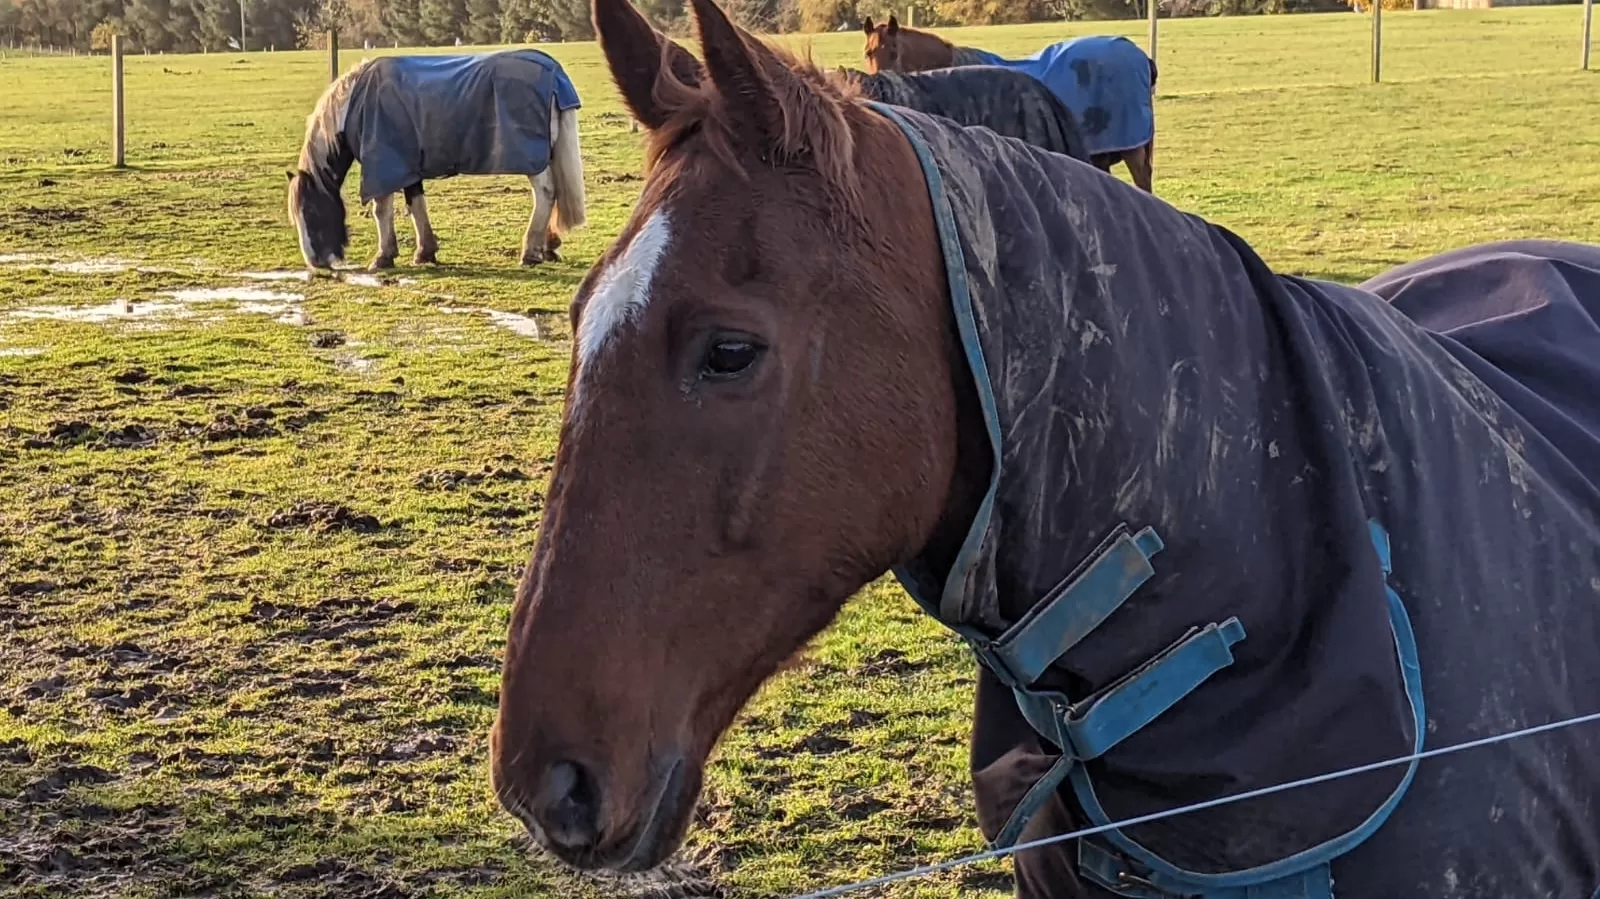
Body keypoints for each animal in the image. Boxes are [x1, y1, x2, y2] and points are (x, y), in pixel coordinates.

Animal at [287, 49, 587, 272]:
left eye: (311, 211)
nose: (316, 263)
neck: (351, 106)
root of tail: (553, 72)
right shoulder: (406, 167)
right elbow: (415, 204)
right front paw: (425, 252)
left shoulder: (383, 165)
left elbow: (382, 210)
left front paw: (383, 257)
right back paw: (548, 246)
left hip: (535, 162)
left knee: (546, 193)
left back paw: (531, 251)